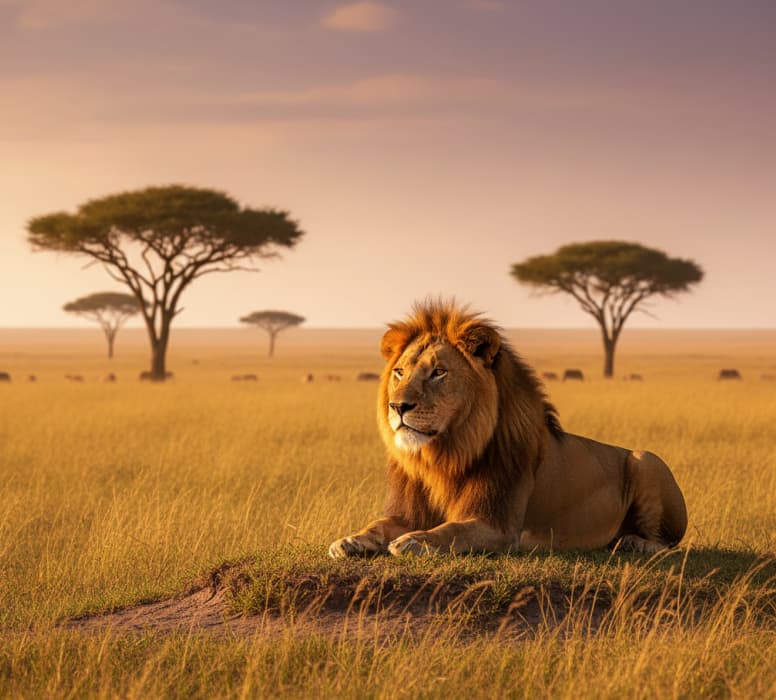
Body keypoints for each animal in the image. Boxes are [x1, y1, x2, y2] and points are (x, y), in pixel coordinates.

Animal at [329, 300, 687, 558]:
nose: (398, 406)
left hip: (646, 460)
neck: (444, 456)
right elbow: (379, 524)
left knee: (667, 543)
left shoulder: (497, 525)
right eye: (400, 372)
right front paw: (350, 540)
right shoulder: (408, 512)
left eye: (439, 372)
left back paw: (635, 543)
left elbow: (451, 531)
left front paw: (415, 541)